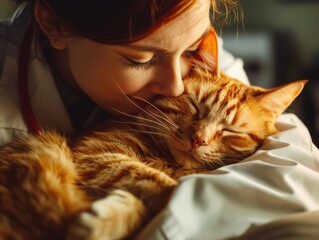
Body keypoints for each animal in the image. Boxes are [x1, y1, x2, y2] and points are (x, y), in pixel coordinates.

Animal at [0, 68, 306, 240]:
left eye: (230, 130)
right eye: (194, 106)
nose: (198, 139)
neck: (169, 161)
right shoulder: (95, 153)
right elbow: (164, 188)